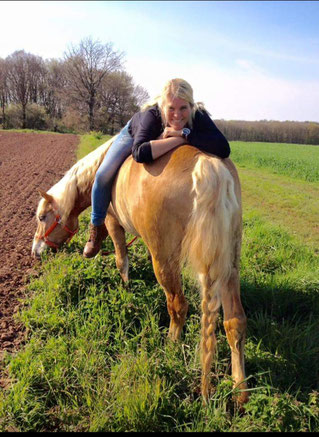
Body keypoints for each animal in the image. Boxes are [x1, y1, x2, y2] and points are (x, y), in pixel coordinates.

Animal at [31, 135, 249, 402]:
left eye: (42, 217)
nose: (35, 251)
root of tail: (208, 166)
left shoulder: (113, 222)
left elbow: (121, 261)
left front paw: (126, 291)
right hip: (229, 264)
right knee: (234, 321)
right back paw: (240, 390)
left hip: (165, 258)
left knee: (178, 305)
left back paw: (170, 347)